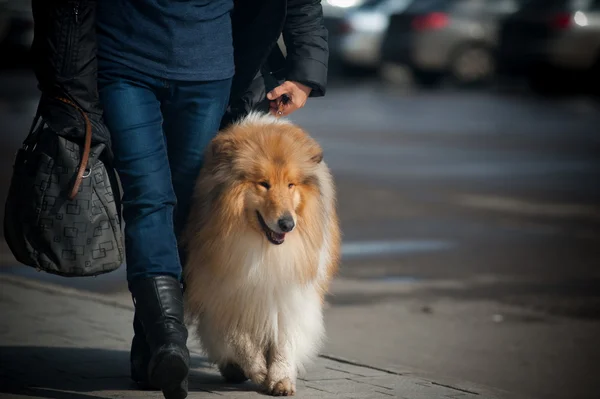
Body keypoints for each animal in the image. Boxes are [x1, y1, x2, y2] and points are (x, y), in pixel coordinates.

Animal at [183, 111, 340, 396]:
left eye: (290, 185)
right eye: (263, 184)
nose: (287, 224)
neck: (263, 250)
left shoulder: (288, 291)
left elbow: (284, 338)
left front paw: (281, 380)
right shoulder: (223, 291)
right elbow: (237, 335)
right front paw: (256, 369)